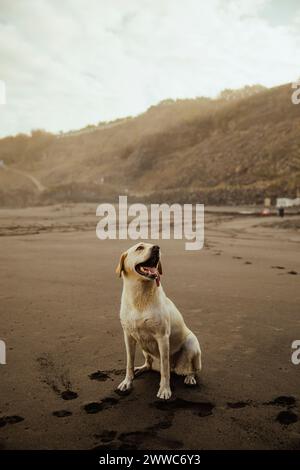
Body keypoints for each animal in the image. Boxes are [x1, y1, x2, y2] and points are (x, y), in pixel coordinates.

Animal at [115, 242, 202, 400]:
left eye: (153, 245)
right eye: (140, 247)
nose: (157, 247)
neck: (140, 296)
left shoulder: (162, 338)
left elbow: (165, 368)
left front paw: (165, 389)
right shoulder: (128, 336)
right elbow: (129, 363)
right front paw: (127, 382)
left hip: (192, 344)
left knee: (190, 369)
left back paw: (189, 377)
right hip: (144, 348)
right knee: (149, 364)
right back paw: (141, 369)